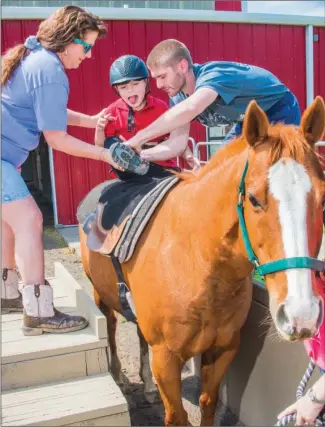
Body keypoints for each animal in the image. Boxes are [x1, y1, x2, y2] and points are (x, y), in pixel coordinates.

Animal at [79, 98, 324, 426]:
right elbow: (177, 416)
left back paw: (146, 386)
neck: (200, 263)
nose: (302, 315)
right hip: (101, 296)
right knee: (111, 326)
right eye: (254, 199)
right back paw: (119, 374)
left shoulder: (224, 348)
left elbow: (208, 403)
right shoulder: (167, 360)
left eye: (323, 198)